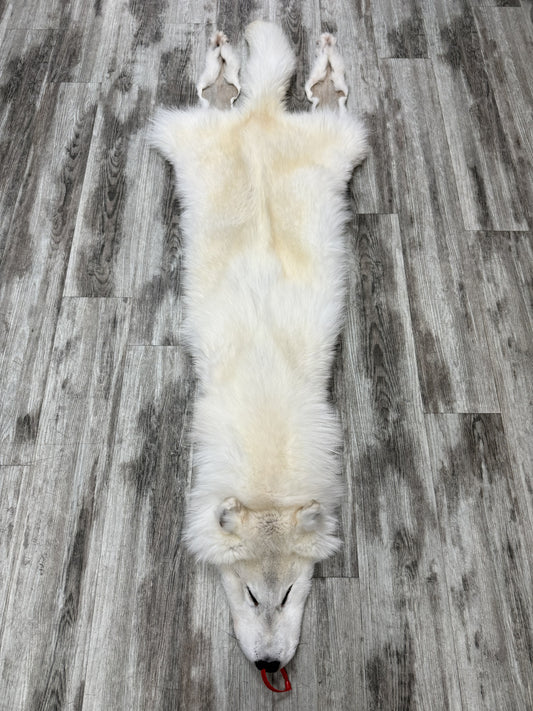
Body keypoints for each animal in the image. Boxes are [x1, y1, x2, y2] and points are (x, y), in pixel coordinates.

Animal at [150, 21, 368, 673]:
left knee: (316, 103)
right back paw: (230, 69)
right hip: (193, 141)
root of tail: (265, 116)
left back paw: (309, 72)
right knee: (218, 101)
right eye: (250, 593)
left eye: (292, 590)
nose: (271, 665)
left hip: (332, 146)